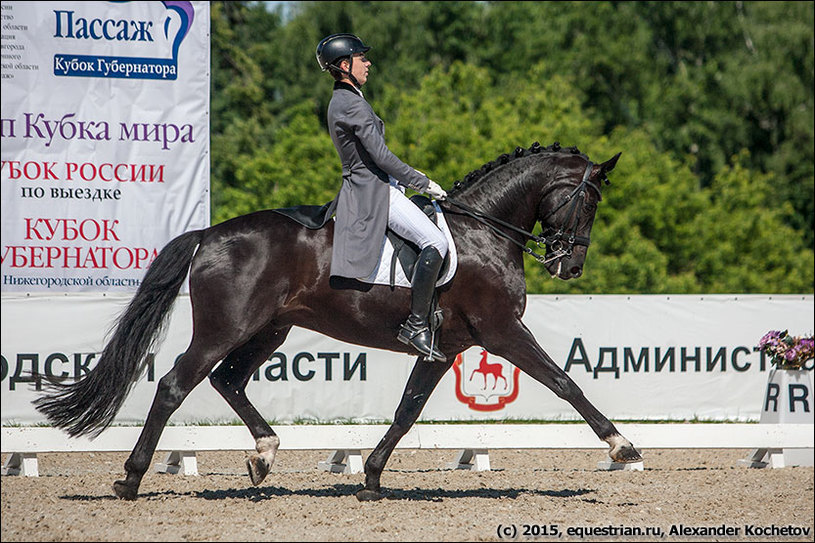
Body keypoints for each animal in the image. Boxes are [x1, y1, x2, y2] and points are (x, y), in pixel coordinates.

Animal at [33, 141, 644, 502]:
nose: (570, 266)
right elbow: (565, 381)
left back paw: (263, 456)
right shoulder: (501, 331)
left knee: (227, 380)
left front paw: (371, 476)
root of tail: (209, 235)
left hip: (269, 328)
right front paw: (623, 448)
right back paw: (132, 478)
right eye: (589, 202)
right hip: (225, 328)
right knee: (175, 384)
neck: (484, 231)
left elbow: (407, 411)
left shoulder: (444, 348)